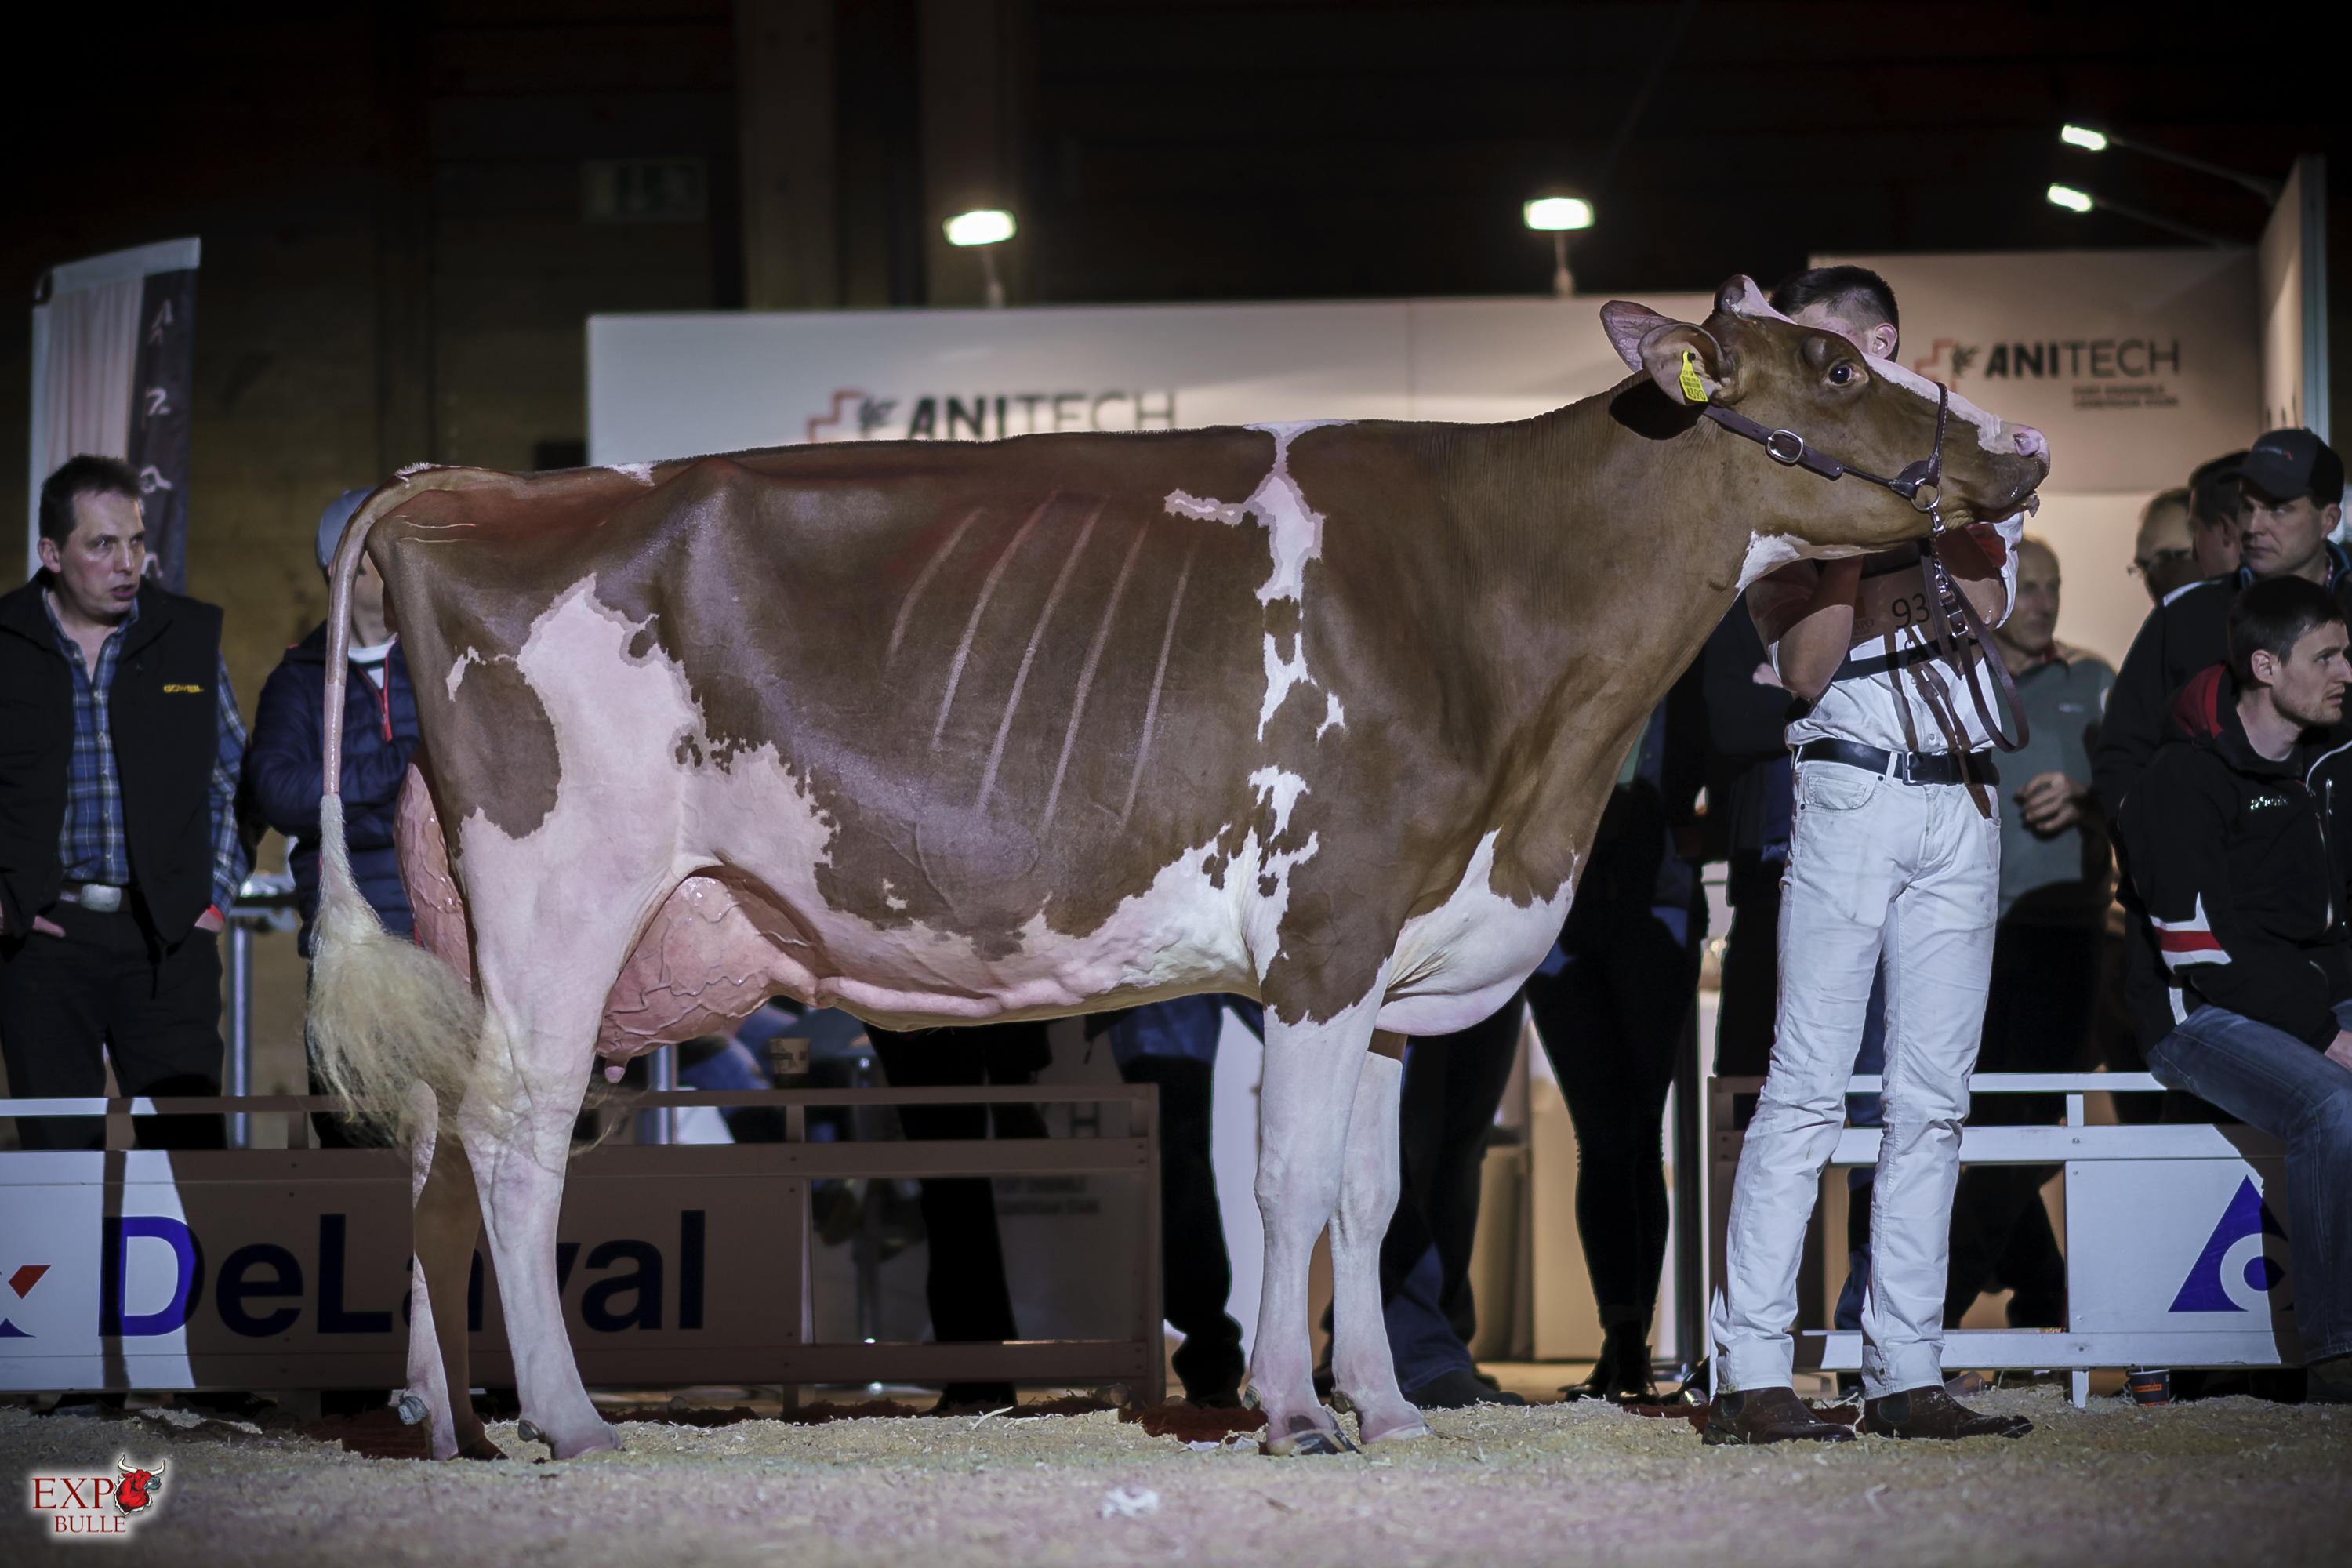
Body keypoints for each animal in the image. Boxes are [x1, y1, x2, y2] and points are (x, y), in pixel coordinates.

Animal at [308, 277, 2047, 1461]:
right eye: (1838, 363)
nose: (2023, 449)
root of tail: (480, 487)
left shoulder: (1398, 961)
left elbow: (1366, 1188)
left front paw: (1384, 1409)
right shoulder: (1329, 931)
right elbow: (1286, 1179)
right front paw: (1293, 1408)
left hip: (468, 915)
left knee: (432, 1136)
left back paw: (447, 1417)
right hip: (564, 892)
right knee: (515, 1136)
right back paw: (571, 1420)